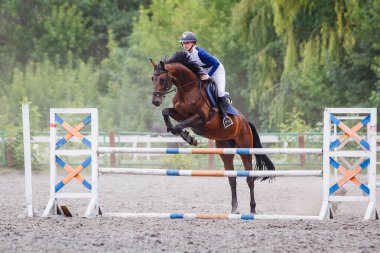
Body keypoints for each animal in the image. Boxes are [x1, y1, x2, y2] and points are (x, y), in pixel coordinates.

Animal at [148, 51, 274, 213]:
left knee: (249, 178)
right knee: (232, 178)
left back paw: (252, 210)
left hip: (245, 149)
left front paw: (188, 138)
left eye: (163, 79)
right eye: (153, 78)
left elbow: (179, 126)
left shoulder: (199, 119)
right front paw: (181, 133)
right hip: (225, 151)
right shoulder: (181, 114)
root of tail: (246, 122)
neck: (187, 89)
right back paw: (234, 209)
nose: (155, 101)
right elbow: (166, 112)